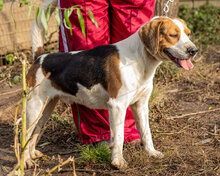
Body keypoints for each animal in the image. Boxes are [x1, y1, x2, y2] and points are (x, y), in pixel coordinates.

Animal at [24, 5, 198, 168]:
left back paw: (32, 154)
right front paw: (117, 162)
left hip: (45, 109)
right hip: (34, 107)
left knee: (35, 132)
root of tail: (41, 57)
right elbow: (119, 136)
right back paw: (25, 161)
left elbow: (146, 132)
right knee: (24, 135)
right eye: (173, 35)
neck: (139, 58)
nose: (194, 50)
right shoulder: (117, 106)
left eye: (188, 34)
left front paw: (151, 152)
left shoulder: (141, 104)